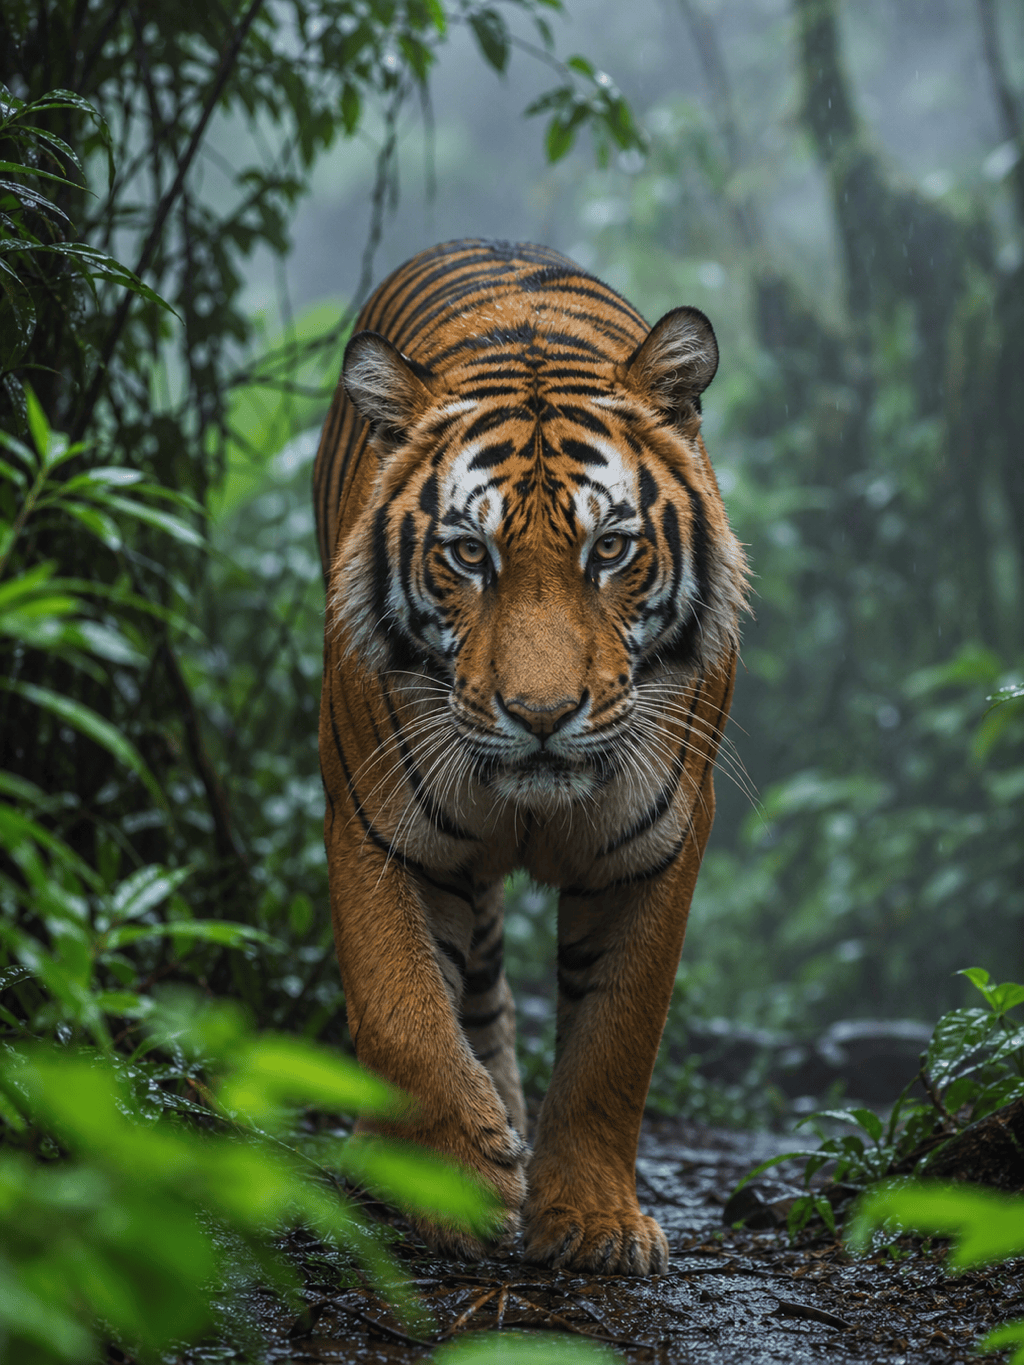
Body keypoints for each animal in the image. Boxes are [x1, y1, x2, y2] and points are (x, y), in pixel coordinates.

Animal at [313, 238, 747, 1275]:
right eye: (469, 555)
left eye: (613, 549)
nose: (542, 714)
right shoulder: (373, 817)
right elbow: (400, 1009)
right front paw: (459, 1179)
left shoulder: (660, 844)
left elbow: (614, 1041)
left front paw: (592, 1220)